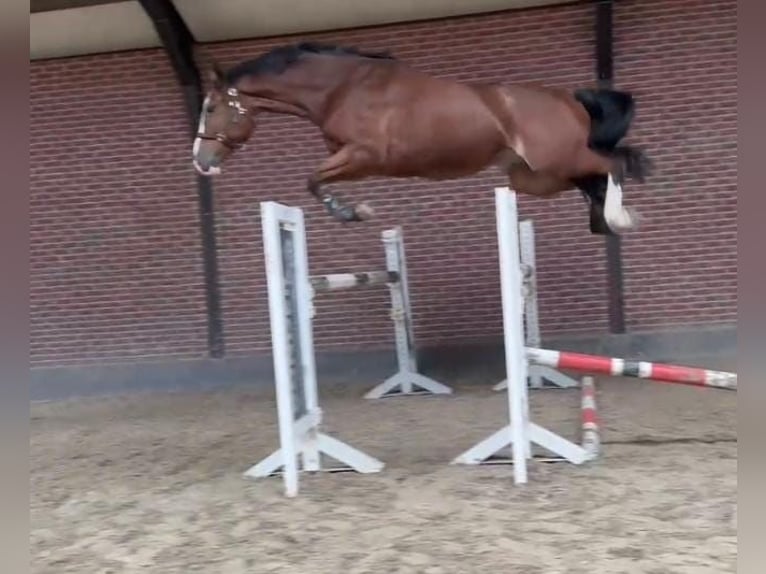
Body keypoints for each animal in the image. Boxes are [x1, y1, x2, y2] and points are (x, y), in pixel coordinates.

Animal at [192, 42, 652, 235]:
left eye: (210, 108)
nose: (200, 160)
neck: (341, 88)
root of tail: (569, 98)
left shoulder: (365, 155)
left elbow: (311, 180)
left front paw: (354, 212)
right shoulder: (354, 160)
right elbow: (315, 180)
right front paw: (353, 210)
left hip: (556, 160)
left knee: (614, 163)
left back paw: (616, 218)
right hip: (535, 177)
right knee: (596, 177)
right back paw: (606, 221)